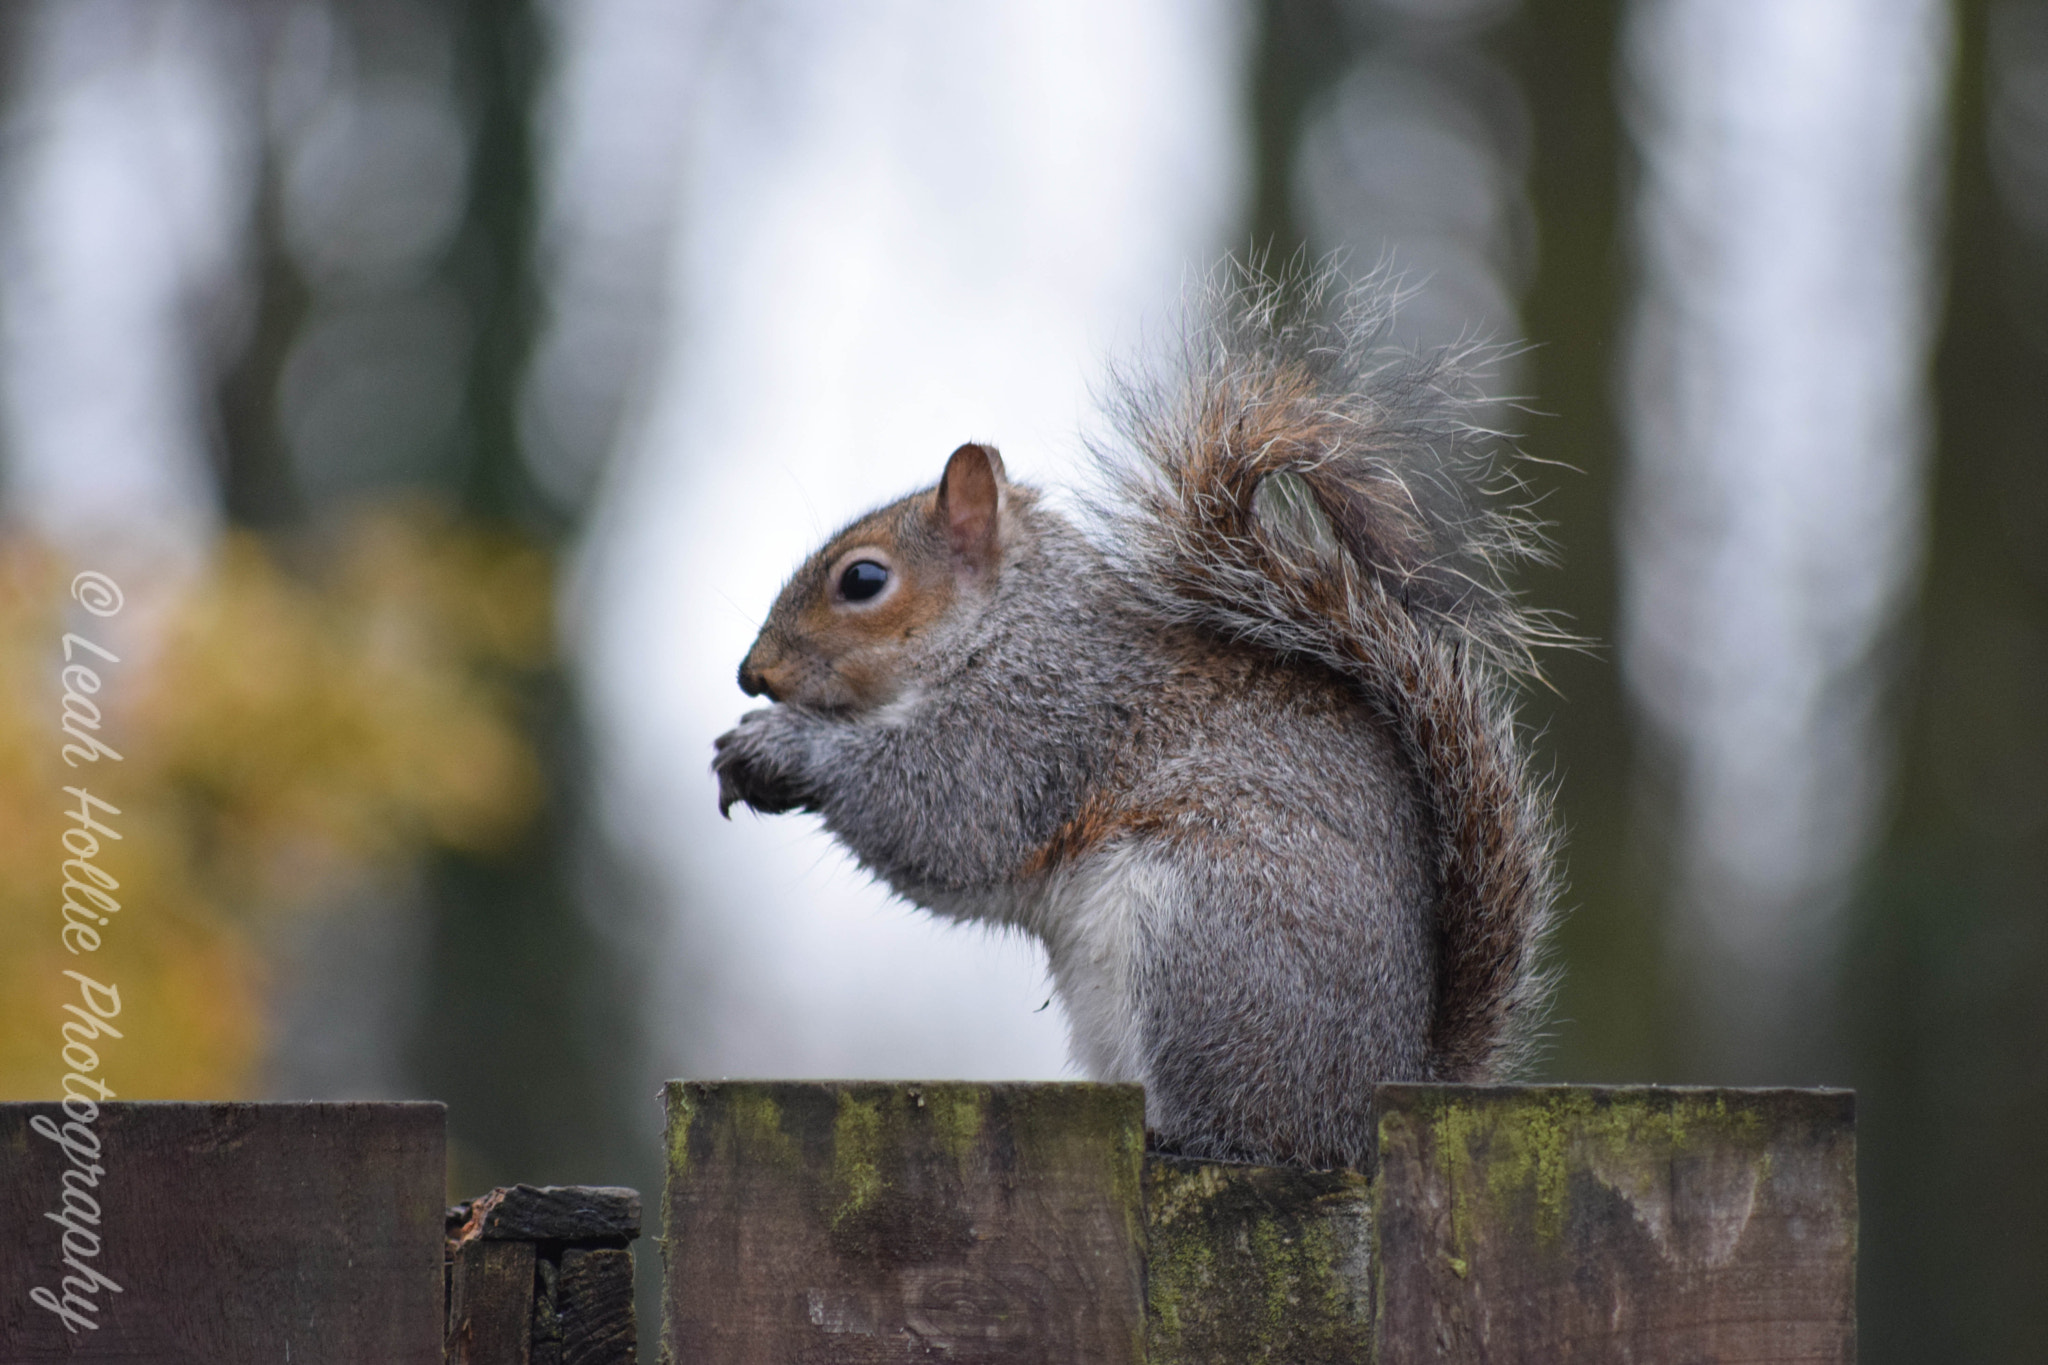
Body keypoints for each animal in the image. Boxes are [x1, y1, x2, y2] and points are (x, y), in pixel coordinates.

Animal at [712, 263, 1556, 1162]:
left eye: (863, 580)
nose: (751, 674)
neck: (1008, 624)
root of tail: (1371, 1101)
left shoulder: (1045, 717)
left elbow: (948, 814)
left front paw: (782, 748)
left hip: (1207, 940)